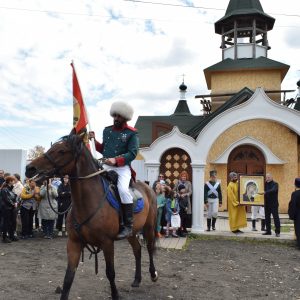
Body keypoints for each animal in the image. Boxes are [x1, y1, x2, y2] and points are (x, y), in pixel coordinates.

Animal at [24, 131, 158, 300]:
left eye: (61, 151)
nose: (30, 168)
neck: (88, 202)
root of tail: (147, 187)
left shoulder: (107, 243)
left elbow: (110, 273)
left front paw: (115, 295)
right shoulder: (74, 243)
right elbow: (68, 277)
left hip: (149, 227)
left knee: (149, 248)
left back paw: (153, 274)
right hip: (132, 232)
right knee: (137, 250)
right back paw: (136, 280)